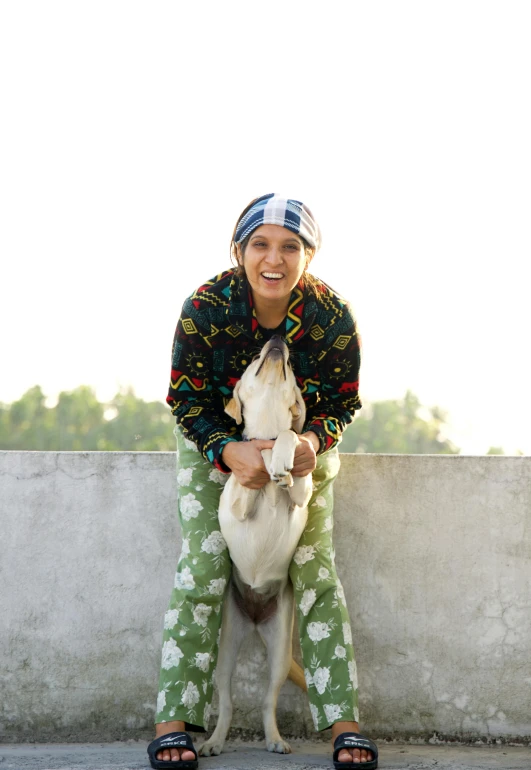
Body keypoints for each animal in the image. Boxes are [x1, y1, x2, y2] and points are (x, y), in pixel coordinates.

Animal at [202, 332, 314, 752]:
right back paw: (213, 742)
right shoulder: (237, 503)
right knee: (228, 702)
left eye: (291, 367)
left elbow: (290, 434)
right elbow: (254, 465)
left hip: (279, 652)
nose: (278, 337)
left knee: (268, 701)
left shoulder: (302, 494)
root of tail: (252, 618)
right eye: (253, 358)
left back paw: (275, 739)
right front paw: (266, 462)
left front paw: (280, 458)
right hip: (224, 654)